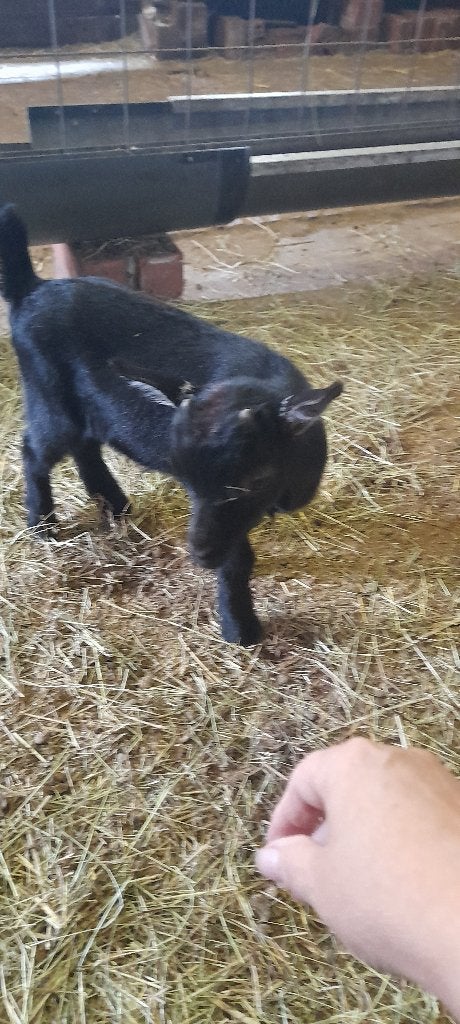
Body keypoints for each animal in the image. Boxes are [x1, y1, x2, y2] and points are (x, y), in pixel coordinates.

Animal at [0, 204, 342, 645]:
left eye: (256, 478)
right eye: (187, 481)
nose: (199, 552)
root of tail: (32, 288)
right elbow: (238, 558)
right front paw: (240, 627)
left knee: (86, 445)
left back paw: (116, 506)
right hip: (50, 399)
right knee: (36, 452)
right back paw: (43, 526)